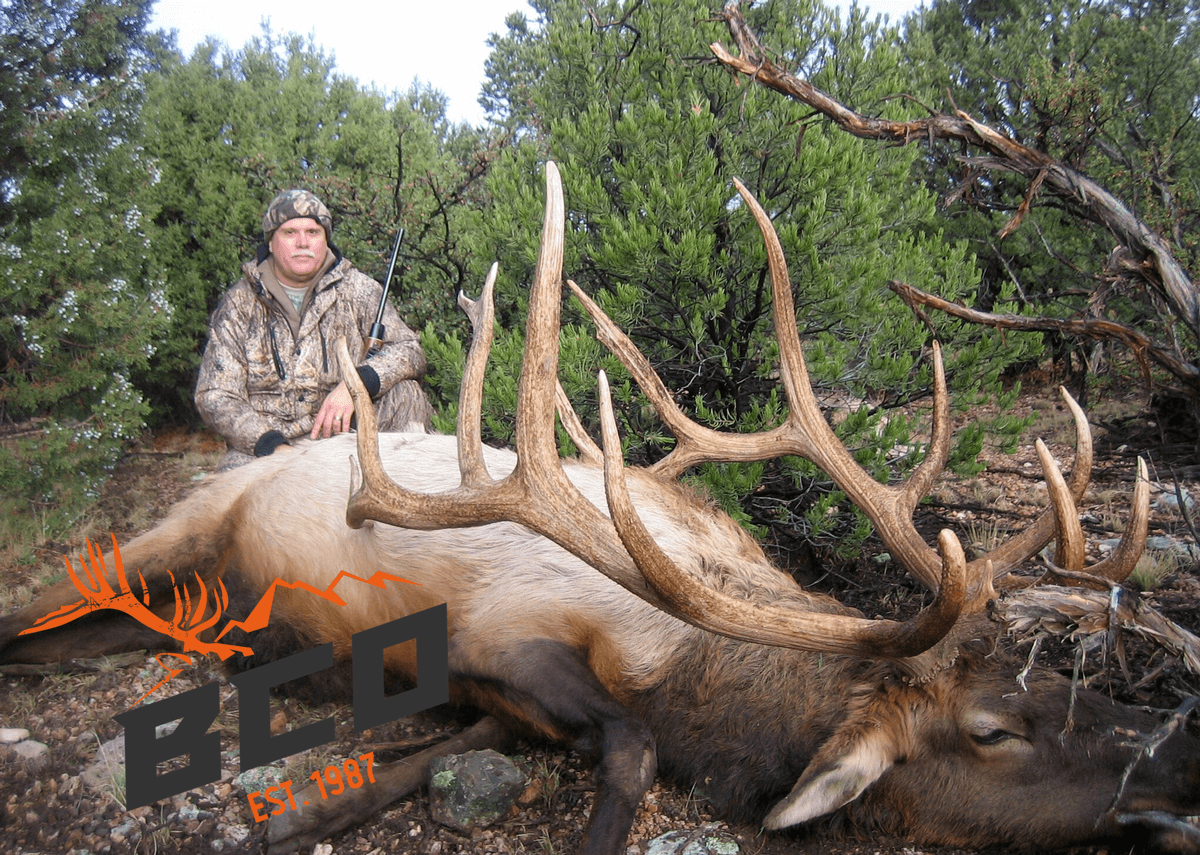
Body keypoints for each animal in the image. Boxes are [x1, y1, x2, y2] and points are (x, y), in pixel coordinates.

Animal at [1, 162, 1196, 855]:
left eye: (1062, 681)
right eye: (994, 728)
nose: (1175, 745)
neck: (700, 673)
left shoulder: (501, 691)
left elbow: (434, 760)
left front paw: (309, 808)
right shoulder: (499, 635)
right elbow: (628, 749)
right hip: (174, 530)